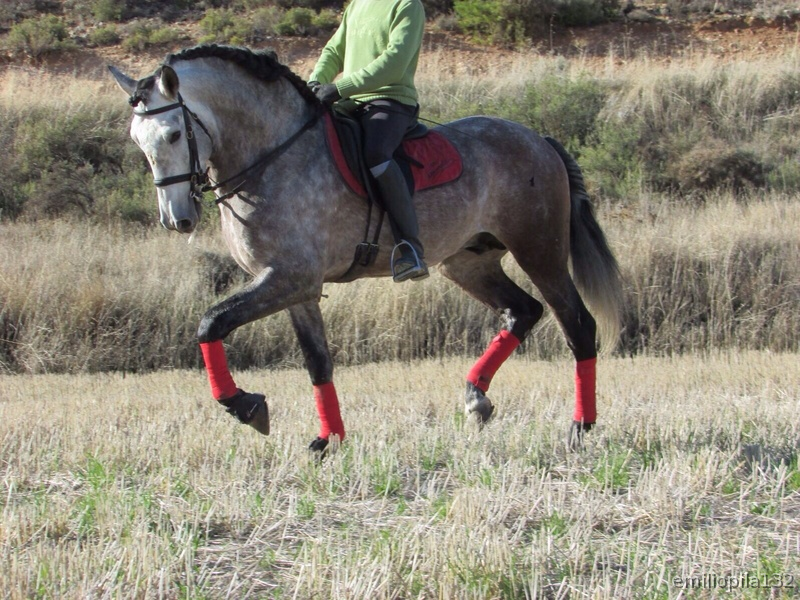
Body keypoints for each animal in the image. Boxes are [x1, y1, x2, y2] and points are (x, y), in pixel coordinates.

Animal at [108, 44, 623, 453]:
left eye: (175, 134)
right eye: (137, 140)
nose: (177, 218)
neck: (272, 156)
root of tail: (540, 140)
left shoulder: (288, 278)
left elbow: (210, 323)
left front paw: (247, 406)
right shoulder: (296, 289)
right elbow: (317, 362)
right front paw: (328, 440)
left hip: (540, 252)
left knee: (577, 325)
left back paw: (579, 428)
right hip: (468, 263)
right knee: (523, 312)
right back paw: (476, 398)